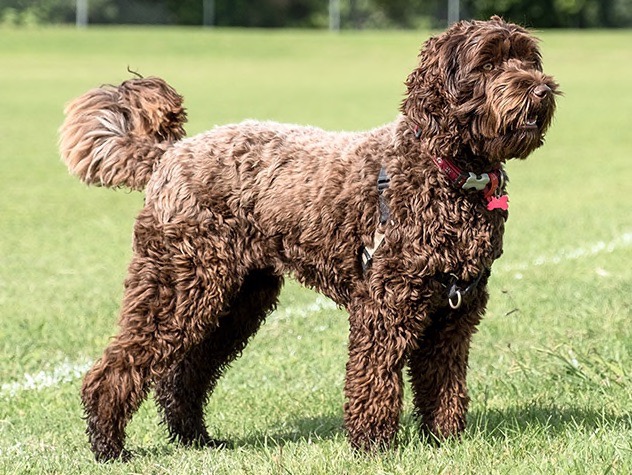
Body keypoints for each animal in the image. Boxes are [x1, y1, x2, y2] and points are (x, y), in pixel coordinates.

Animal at [56, 15, 556, 462]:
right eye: (487, 64)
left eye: (528, 58)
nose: (542, 89)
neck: (447, 172)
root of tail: (169, 153)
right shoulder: (385, 305)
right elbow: (374, 377)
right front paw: (373, 446)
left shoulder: (456, 312)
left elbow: (443, 381)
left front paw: (445, 440)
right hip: (177, 286)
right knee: (118, 368)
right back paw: (108, 446)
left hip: (237, 299)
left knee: (185, 375)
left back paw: (195, 439)